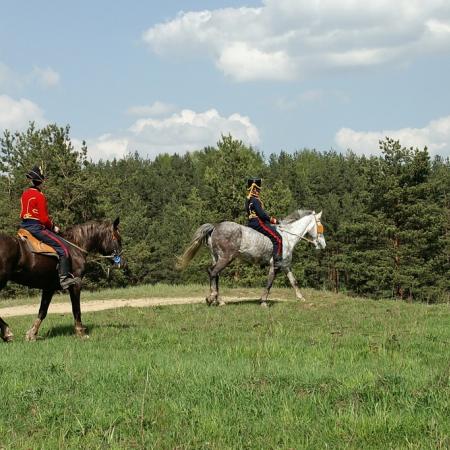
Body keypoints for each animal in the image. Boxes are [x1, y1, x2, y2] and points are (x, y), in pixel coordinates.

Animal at [177, 209, 326, 308]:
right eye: (320, 226)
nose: (323, 245)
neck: (288, 237)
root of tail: (215, 227)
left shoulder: (285, 265)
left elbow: (293, 281)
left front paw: (301, 298)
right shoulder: (275, 265)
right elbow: (269, 283)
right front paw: (263, 301)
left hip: (217, 257)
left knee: (215, 275)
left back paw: (220, 301)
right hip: (226, 257)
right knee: (213, 272)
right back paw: (211, 298)